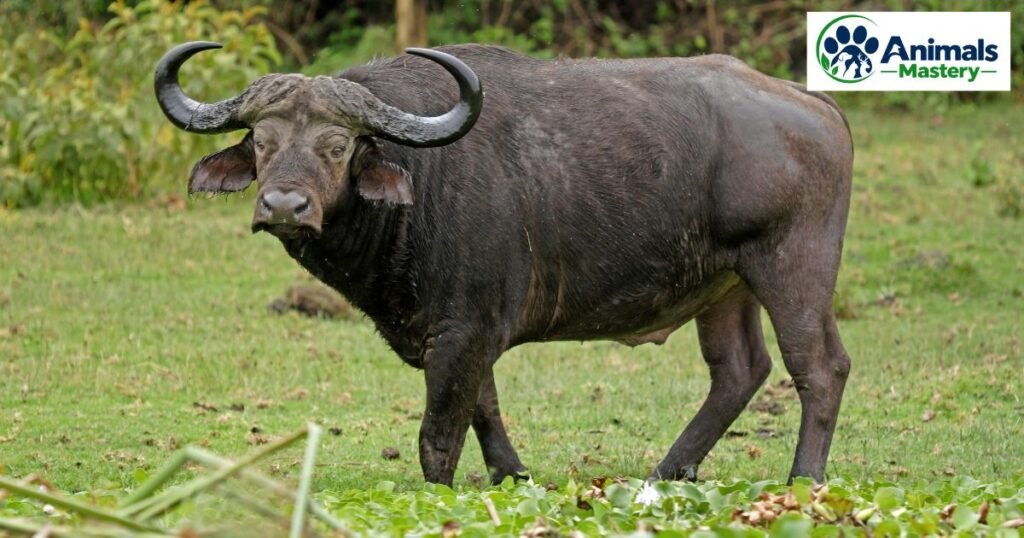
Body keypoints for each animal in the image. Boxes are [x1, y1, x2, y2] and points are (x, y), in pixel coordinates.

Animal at [155, 42, 853, 486]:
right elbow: (484, 407)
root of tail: (813, 104)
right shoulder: (465, 334)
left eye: (337, 145)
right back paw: (667, 472)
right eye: (261, 141)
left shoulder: (462, 332)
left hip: (792, 265)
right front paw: (511, 474)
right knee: (739, 370)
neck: (420, 178)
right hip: (725, 286)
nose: (283, 205)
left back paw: (803, 477)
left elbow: (439, 433)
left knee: (819, 367)